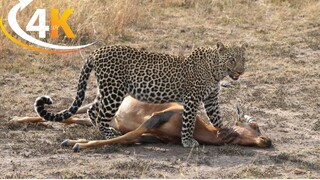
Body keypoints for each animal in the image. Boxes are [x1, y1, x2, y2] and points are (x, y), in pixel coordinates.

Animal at [35, 41, 250, 148]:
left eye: (243, 59)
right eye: (232, 59)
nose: (241, 71)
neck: (215, 71)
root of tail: (97, 52)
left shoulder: (211, 99)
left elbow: (217, 117)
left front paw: (226, 131)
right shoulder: (192, 98)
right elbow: (188, 122)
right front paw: (188, 142)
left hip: (106, 90)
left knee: (93, 110)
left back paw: (105, 130)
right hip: (114, 92)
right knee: (101, 115)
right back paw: (111, 133)